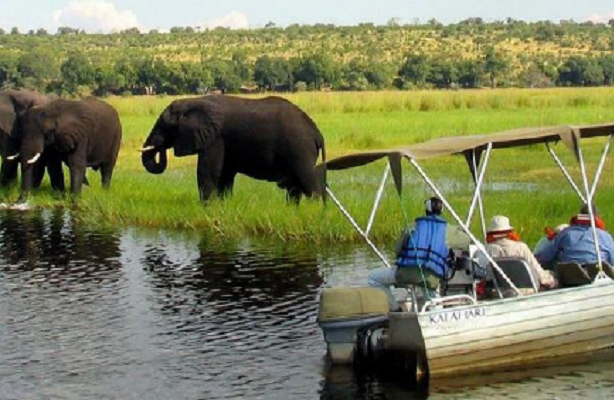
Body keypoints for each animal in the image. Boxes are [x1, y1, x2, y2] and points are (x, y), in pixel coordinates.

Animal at [143, 94, 330, 203]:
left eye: (164, 126)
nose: (161, 147)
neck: (193, 100)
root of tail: (317, 132)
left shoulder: (216, 137)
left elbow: (207, 172)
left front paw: (207, 208)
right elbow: (225, 175)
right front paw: (224, 205)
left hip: (301, 149)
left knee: (309, 183)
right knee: (295, 187)